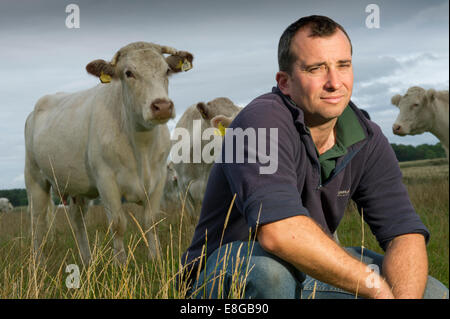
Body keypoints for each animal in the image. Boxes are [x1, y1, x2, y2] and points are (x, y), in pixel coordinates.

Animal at [24, 43, 193, 268]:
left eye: (166, 70)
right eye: (128, 73)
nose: (162, 106)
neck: (141, 148)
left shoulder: (158, 180)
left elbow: (151, 221)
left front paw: (156, 260)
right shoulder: (106, 181)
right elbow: (118, 224)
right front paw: (120, 265)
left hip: (76, 187)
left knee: (77, 220)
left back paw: (87, 260)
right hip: (35, 178)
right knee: (38, 221)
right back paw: (39, 264)